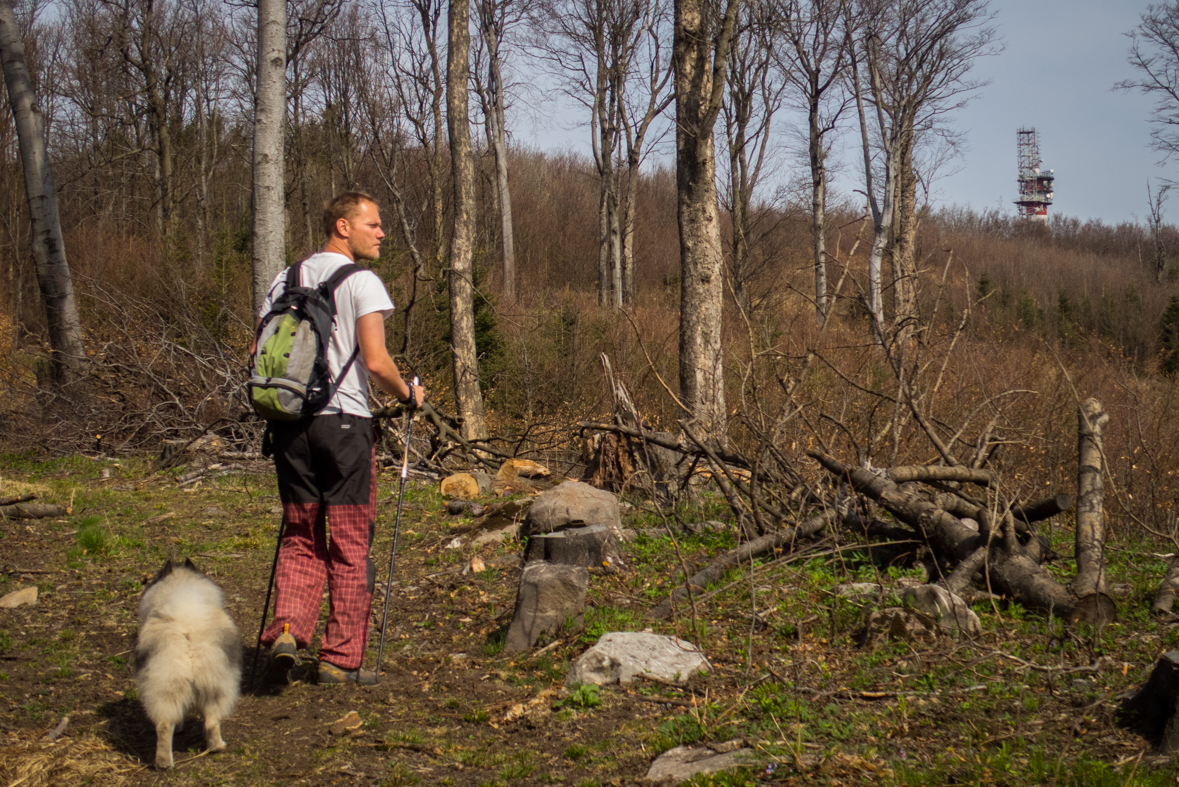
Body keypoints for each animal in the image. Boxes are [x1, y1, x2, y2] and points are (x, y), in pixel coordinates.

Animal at [136, 558, 241, 768]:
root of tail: (187, 635)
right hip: (214, 686)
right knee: (209, 723)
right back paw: (216, 747)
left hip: (170, 689)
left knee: (166, 725)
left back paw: (165, 762)